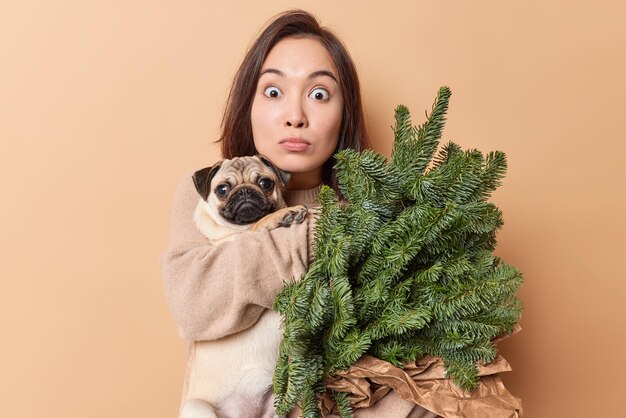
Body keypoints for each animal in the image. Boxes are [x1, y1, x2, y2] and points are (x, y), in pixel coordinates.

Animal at [178, 156, 308, 418]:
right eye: (222, 189)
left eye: (265, 183)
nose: (246, 192)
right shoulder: (236, 244)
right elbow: (259, 225)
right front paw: (284, 215)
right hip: (197, 407)